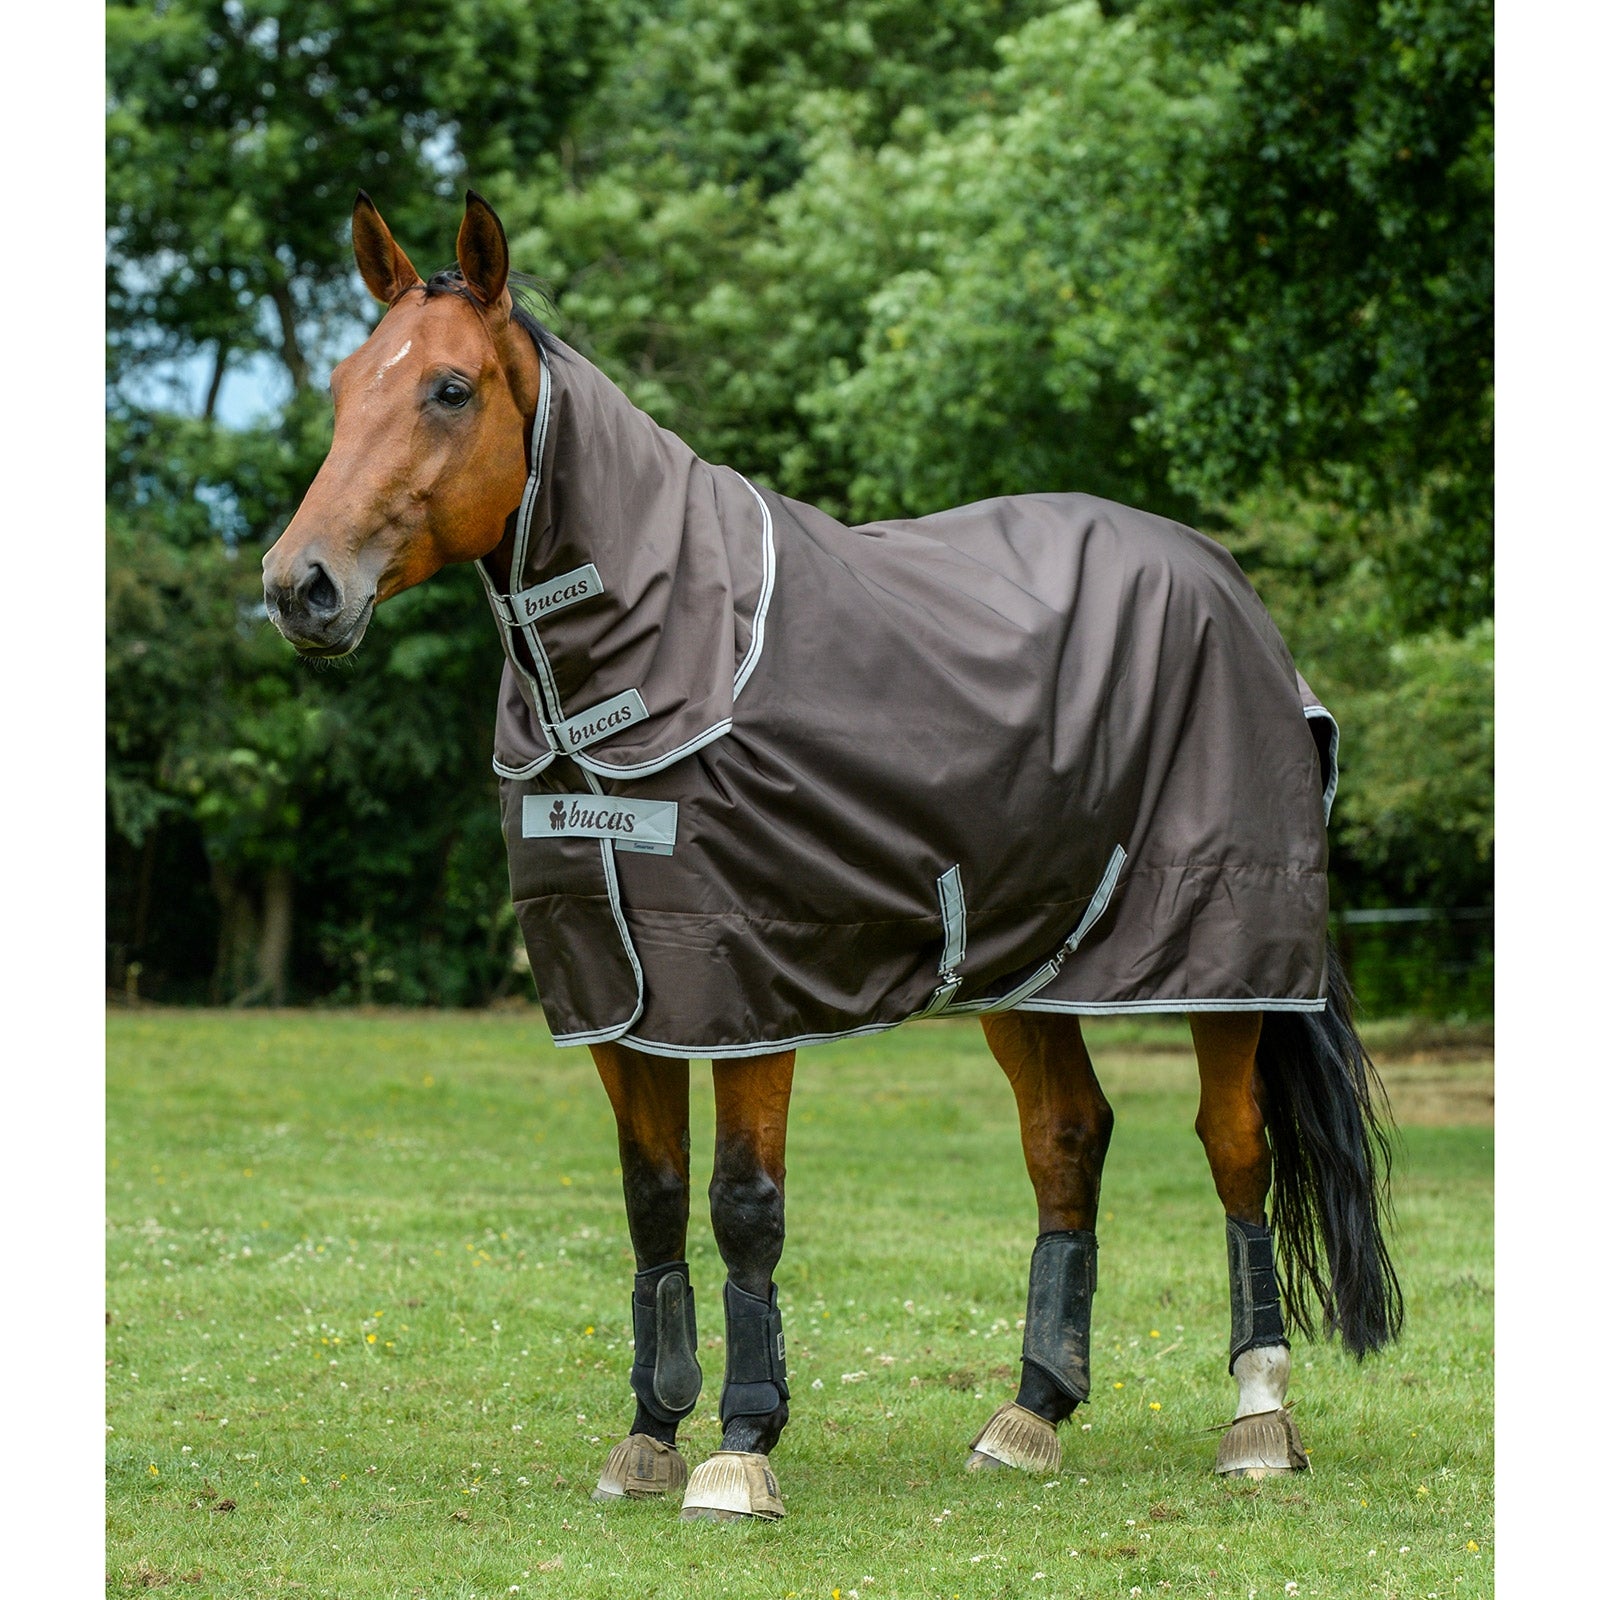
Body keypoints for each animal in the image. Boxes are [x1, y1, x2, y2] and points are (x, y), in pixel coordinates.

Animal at [262, 191, 1401, 1522]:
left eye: (447, 388)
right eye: (345, 386)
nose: (300, 585)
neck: (665, 652)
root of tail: (1229, 585)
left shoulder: (744, 982)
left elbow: (742, 1204)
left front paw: (740, 1445)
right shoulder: (618, 990)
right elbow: (652, 1201)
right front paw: (648, 1433)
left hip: (1224, 958)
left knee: (1235, 1149)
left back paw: (1258, 1419)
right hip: (1021, 963)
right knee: (1068, 1139)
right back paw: (1030, 1413)